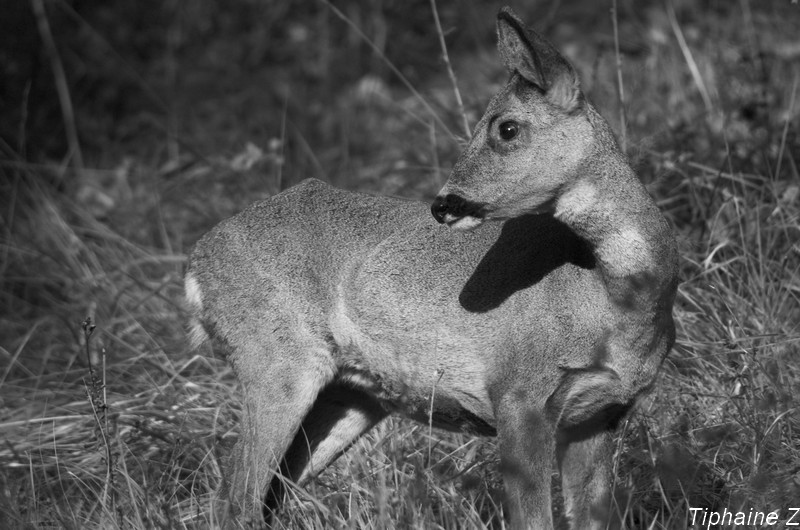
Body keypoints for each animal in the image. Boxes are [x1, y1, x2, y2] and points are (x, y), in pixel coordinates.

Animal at [186, 7, 676, 528]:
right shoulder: (517, 395)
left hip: (352, 394)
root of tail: (196, 265)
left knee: (269, 494)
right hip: (276, 361)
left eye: (506, 128)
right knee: (233, 500)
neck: (614, 301)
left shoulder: (599, 414)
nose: (443, 204)